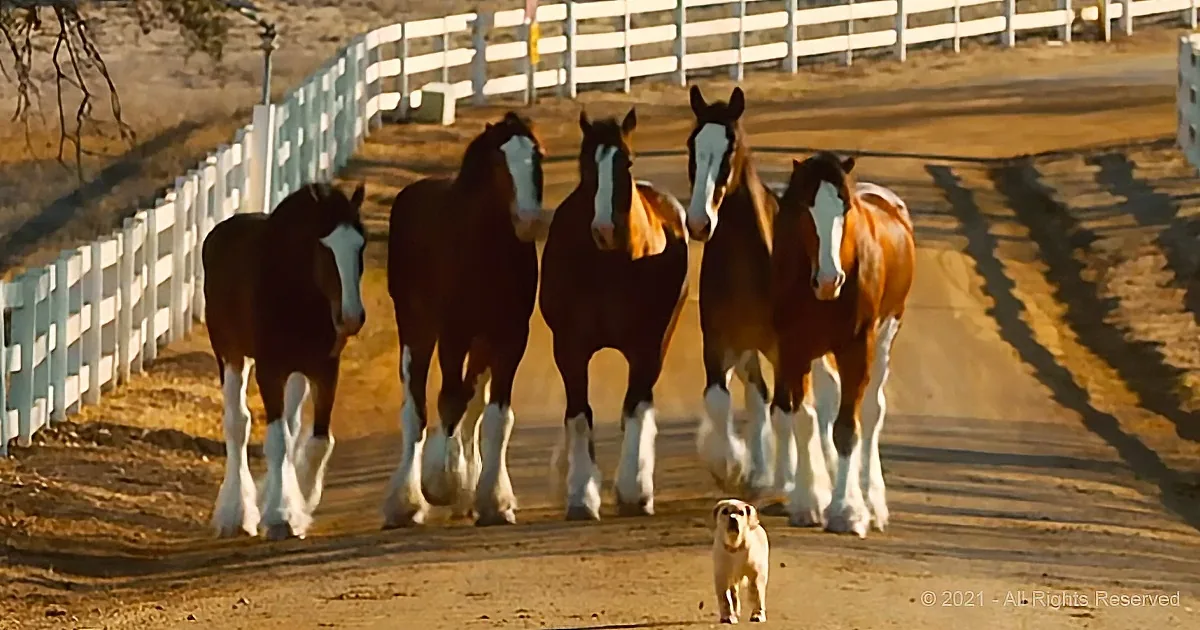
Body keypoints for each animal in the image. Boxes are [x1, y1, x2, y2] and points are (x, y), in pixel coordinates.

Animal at [203, 181, 368, 541]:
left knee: (290, 425)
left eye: (360, 245)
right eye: (325, 247)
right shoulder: (270, 369)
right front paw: (280, 515)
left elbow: (317, 441)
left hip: (295, 373)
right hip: (231, 355)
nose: (351, 317)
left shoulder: (323, 369)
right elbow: (277, 439)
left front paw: (299, 504)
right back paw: (235, 514)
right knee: (237, 423)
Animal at [383, 111, 545, 528]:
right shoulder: (453, 334)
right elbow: (448, 402)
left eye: (537, 157)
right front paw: (441, 483)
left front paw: (494, 501)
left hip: (480, 344)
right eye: (500, 164)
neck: (484, 249)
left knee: (471, 405)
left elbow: (495, 418)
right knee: (416, 408)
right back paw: (405, 502)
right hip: (418, 331)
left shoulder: (509, 338)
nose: (529, 220)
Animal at [540, 108, 689, 520]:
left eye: (626, 161)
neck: (610, 265)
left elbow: (636, 409)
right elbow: (579, 414)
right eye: (585, 165)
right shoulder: (570, 348)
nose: (605, 229)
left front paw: (634, 492)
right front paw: (581, 495)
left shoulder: (647, 347)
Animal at [684, 85, 842, 511]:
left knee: (816, 398)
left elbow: (787, 411)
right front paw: (731, 467)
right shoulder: (718, 342)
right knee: (759, 398)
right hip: (750, 350)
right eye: (692, 145)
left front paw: (788, 481)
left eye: (730, 148)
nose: (699, 222)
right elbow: (719, 400)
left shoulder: (786, 348)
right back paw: (757, 469)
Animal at [771, 151, 915, 538]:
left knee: (872, 410)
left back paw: (872, 502)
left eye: (845, 208)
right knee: (827, 401)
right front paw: (808, 502)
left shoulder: (856, 347)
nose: (829, 279)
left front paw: (847, 511)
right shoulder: (793, 348)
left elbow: (848, 427)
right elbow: (804, 419)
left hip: (886, 334)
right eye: (804, 206)